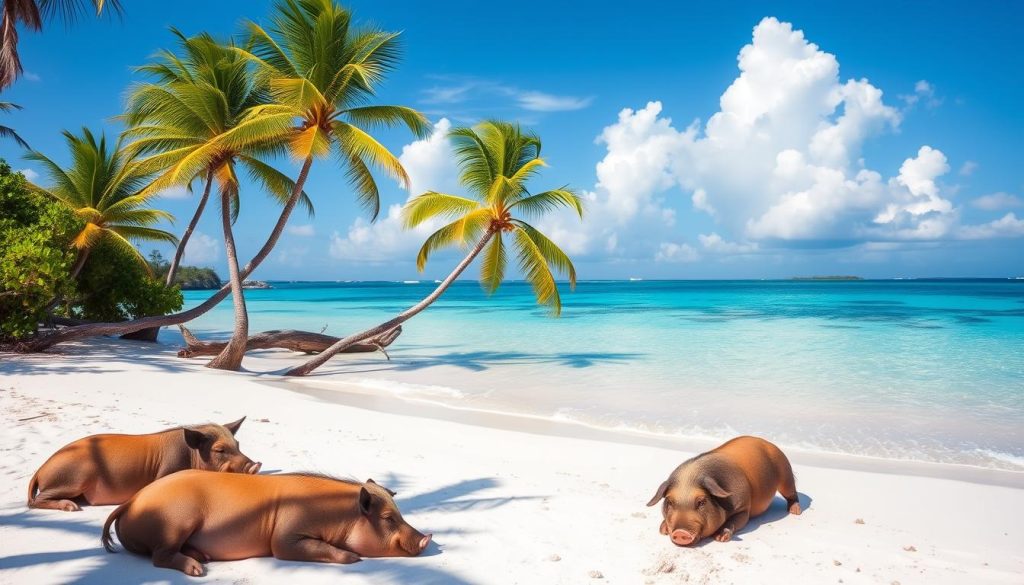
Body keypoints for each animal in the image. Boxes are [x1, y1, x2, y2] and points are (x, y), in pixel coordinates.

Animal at [27, 417, 260, 511]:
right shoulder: (166, 471)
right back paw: (71, 507)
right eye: (219, 450)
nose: (255, 465)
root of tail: (40, 469)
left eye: (238, 445)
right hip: (73, 478)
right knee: (35, 501)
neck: (191, 456)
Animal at [101, 470, 432, 576]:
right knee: (160, 556)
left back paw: (202, 557)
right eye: (388, 518)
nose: (426, 538)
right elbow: (290, 547)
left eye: (401, 513)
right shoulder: (286, 537)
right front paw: (354, 557)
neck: (337, 515)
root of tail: (132, 501)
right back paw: (197, 569)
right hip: (177, 518)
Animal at [646, 435, 801, 546]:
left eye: (701, 502)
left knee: (792, 493)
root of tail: (767, 442)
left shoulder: (743, 508)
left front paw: (720, 538)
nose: (680, 532)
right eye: (670, 502)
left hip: (785, 473)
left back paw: (795, 511)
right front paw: (663, 530)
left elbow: (736, 520)